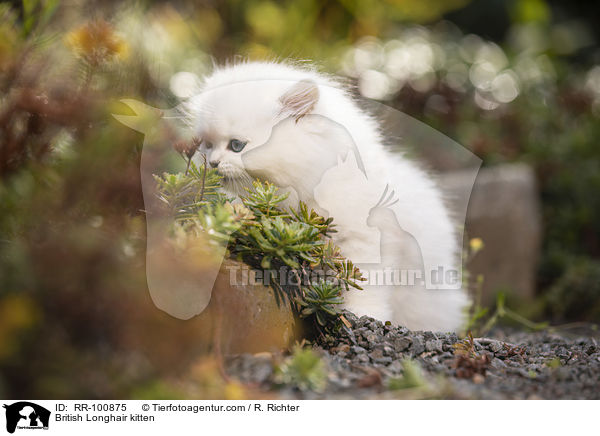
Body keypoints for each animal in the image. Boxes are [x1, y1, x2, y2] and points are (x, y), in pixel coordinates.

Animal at [188, 61, 468, 332]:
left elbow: (365, 282)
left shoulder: (365, 239)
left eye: (236, 146)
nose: (212, 162)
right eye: (207, 145)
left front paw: (363, 315)